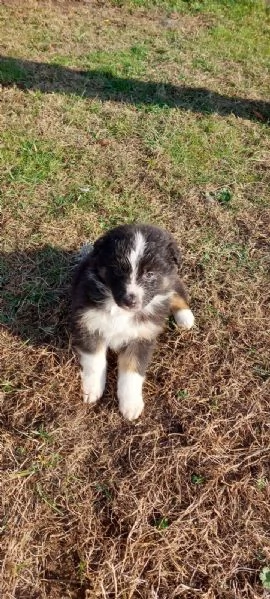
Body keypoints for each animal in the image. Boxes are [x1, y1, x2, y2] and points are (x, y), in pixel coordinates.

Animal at [71, 225, 194, 422]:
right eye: (118, 270)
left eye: (150, 274)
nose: (130, 301)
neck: (121, 311)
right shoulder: (89, 324)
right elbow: (94, 361)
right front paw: (92, 391)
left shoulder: (141, 338)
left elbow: (132, 373)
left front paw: (131, 406)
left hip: (171, 282)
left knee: (176, 290)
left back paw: (185, 317)